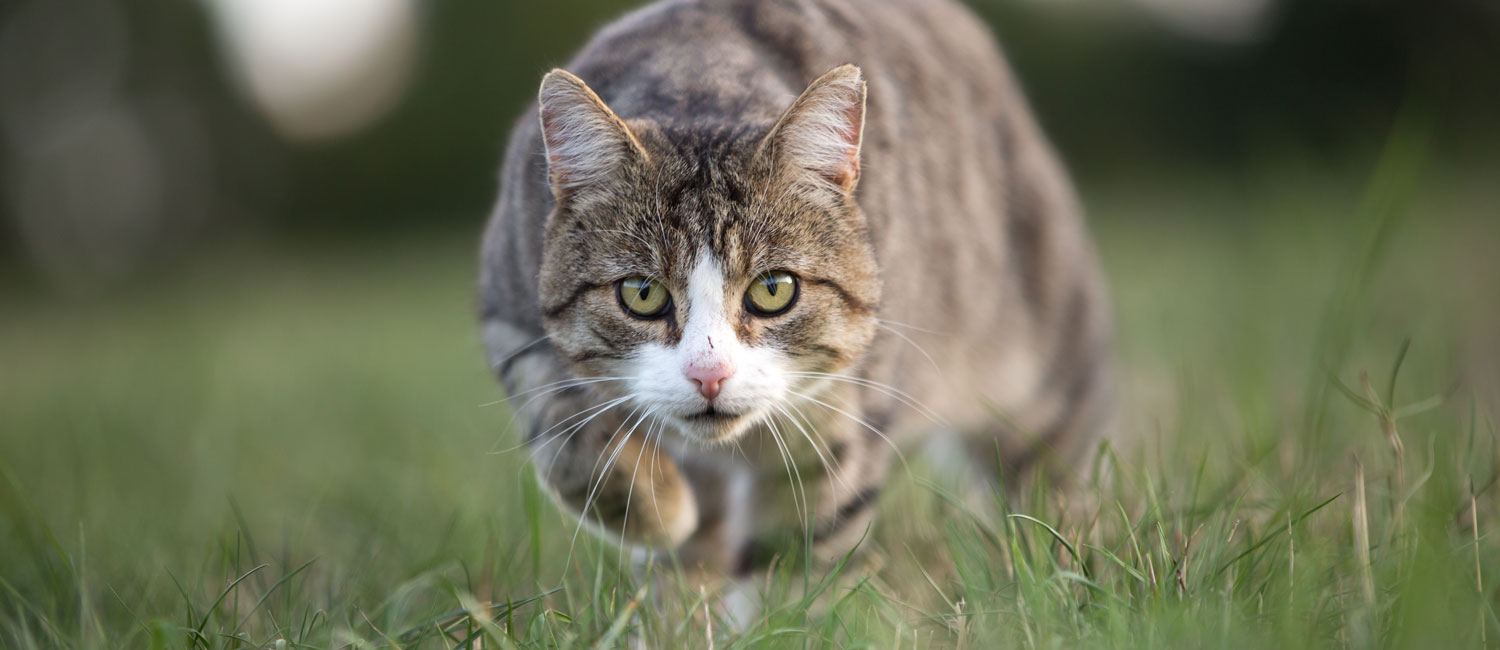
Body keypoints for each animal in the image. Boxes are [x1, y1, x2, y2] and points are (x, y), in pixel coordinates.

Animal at [480, 0, 1116, 576]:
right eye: (641, 294)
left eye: (773, 290)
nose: (708, 376)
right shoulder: (510, 310)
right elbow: (566, 433)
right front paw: (659, 509)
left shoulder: (847, 414)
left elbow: (804, 552)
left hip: (1048, 371)